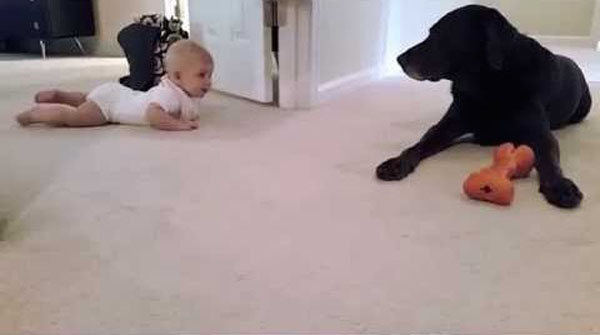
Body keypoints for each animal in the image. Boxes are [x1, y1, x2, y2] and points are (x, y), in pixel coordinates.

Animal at [378, 5, 592, 209]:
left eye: (440, 33)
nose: (399, 59)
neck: (487, 84)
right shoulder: (447, 125)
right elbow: (419, 144)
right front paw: (397, 163)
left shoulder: (540, 134)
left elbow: (548, 158)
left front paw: (559, 186)